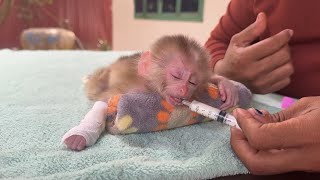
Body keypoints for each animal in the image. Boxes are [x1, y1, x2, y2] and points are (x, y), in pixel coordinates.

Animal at [62, 34, 239, 150]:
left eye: (192, 82)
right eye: (176, 76)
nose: (183, 89)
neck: (150, 86)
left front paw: (225, 84)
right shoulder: (133, 89)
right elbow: (103, 103)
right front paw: (81, 134)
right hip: (100, 79)